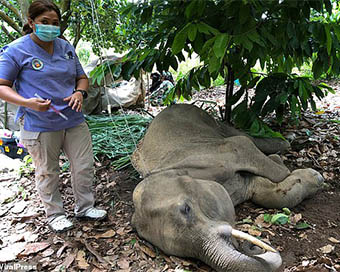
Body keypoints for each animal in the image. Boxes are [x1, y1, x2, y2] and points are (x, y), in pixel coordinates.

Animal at [131, 104, 324, 272]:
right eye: (184, 254)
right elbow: (263, 193)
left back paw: (286, 142)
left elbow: (248, 149)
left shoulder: (218, 153)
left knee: (243, 136)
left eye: (186, 209)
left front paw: (310, 174)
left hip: (209, 120)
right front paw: (313, 177)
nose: (252, 247)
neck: (166, 169)